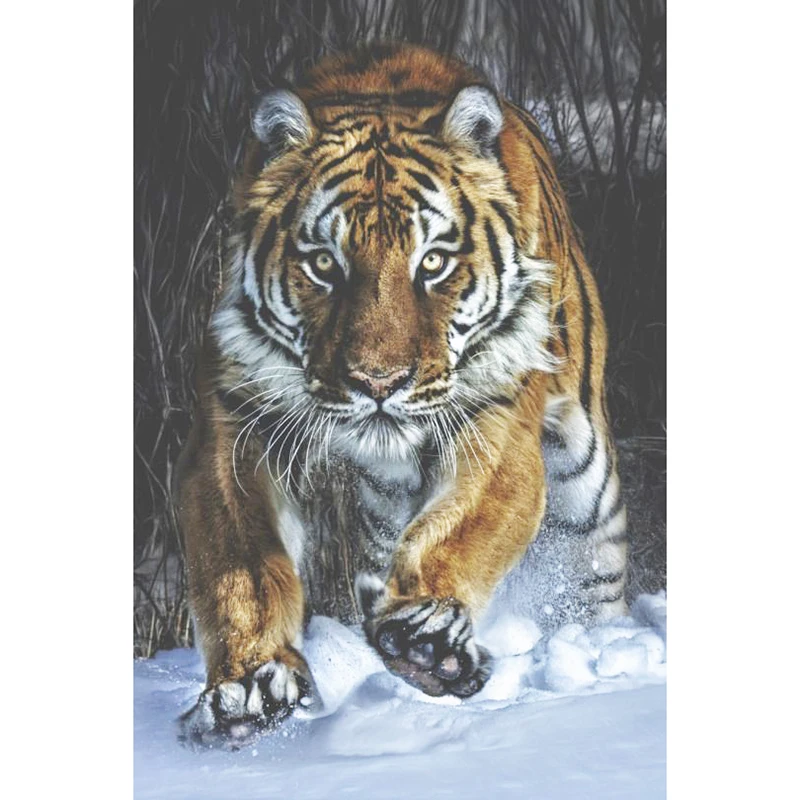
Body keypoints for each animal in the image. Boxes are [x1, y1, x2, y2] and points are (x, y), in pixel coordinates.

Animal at [176, 43, 628, 747]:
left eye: (433, 262)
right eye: (325, 265)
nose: (378, 382)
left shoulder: (495, 425)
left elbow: (457, 530)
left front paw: (426, 640)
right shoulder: (233, 424)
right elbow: (240, 568)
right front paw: (248, 685)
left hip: (585, 496)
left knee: (593, 578)